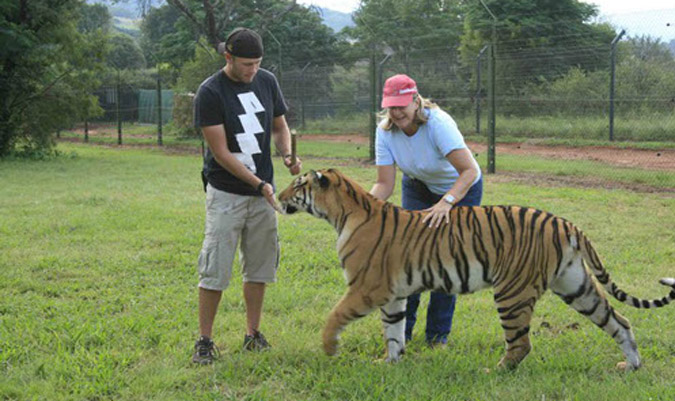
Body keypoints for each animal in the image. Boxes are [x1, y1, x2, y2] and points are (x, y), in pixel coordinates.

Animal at [276, 168, 675, 368]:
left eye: (296, 184)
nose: (277, 197)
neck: (341, 213)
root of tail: (566, 224)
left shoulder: (365, 288)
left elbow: (334, 316)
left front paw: (329, 349)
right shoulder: (392, 294)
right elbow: (393, 331)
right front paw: (389, 364)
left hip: (512, 293)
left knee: (520, 344)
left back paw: (493, 372)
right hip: (576, 286)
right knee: (620, 321)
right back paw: (631, 366)